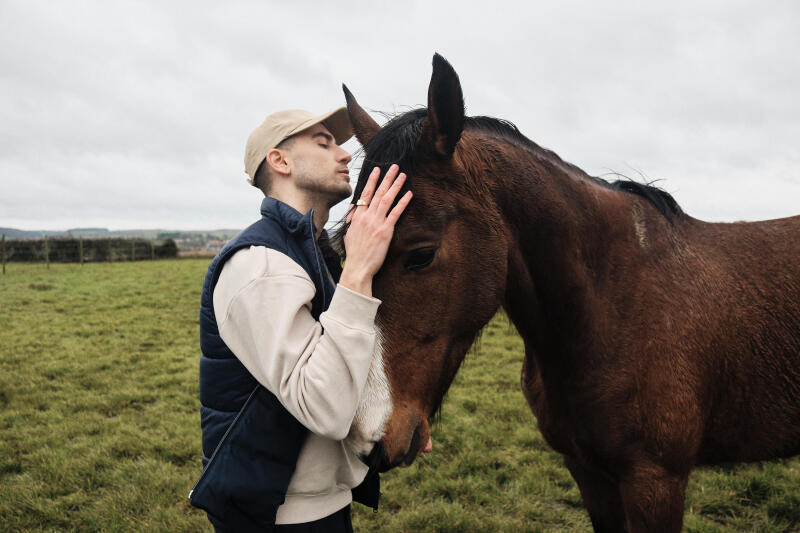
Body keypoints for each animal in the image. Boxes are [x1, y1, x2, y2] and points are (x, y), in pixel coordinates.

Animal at [338, 55, 800, 532]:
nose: (367, 440)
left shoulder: (656, 481)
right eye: (343, 248)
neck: (615, 309)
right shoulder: (587, 471)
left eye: (421, 254)